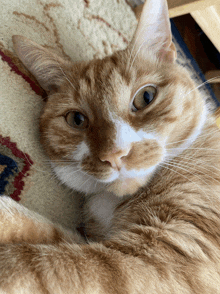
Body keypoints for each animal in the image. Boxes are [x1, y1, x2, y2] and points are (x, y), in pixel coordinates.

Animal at [0, 0, 220, 292]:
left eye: (146, 97)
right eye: (77, 119)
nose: (115, 155)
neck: (113, 201)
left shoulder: (167, 258)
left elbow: (50, 265)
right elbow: (55, 235)